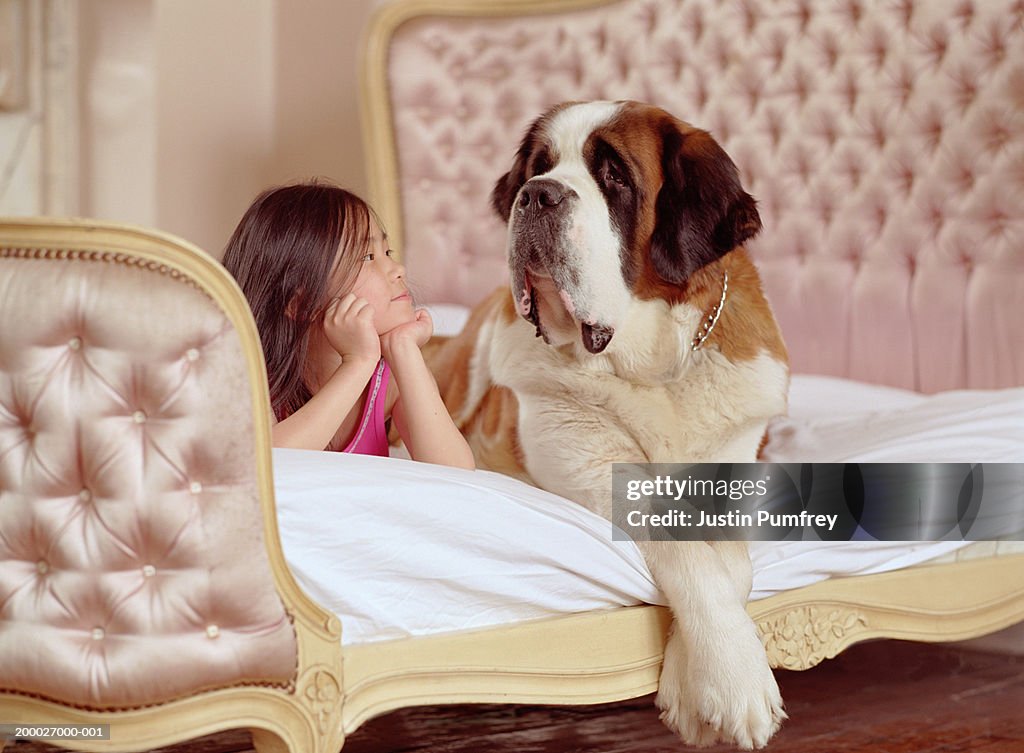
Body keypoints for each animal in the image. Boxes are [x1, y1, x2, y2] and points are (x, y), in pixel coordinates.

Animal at [428, 98, 786, 749]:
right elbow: (691, 555)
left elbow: (732, 564)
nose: (537, 195)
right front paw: (733, 680)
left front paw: (692, 681)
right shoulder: (596, 467)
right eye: (537, 168)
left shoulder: (735, 473)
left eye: (614, 175)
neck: (653, 368)